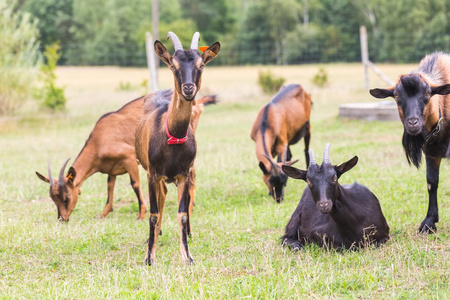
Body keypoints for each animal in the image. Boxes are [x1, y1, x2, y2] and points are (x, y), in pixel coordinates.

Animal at [36, 94, 216, 223]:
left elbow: (135, 184)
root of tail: (197, 103)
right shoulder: (112, 168)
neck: (100, 139)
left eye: (67, 196)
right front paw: (103, 214)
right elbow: (110, 187)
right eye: (52, 197)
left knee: (191, 174)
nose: (62, 218)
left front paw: (141, 214)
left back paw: (190, 207)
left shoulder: (129, 158)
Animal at [134, 31, 221, 264]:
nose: (188, 89)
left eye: (201, 64)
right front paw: (149, 257)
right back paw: (154, 237)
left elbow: (182, 215)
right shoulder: (152, 174)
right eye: (173, 65)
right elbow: (153, 214)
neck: (172, 137)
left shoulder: (183, 174)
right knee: (161, 198)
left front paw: (187, 256)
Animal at [370, 51, 450, 233]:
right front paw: (429, 221)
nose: (413, 122)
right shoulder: (431, 152)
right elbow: (431, 182)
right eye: (396, 95)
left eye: (428, 93)